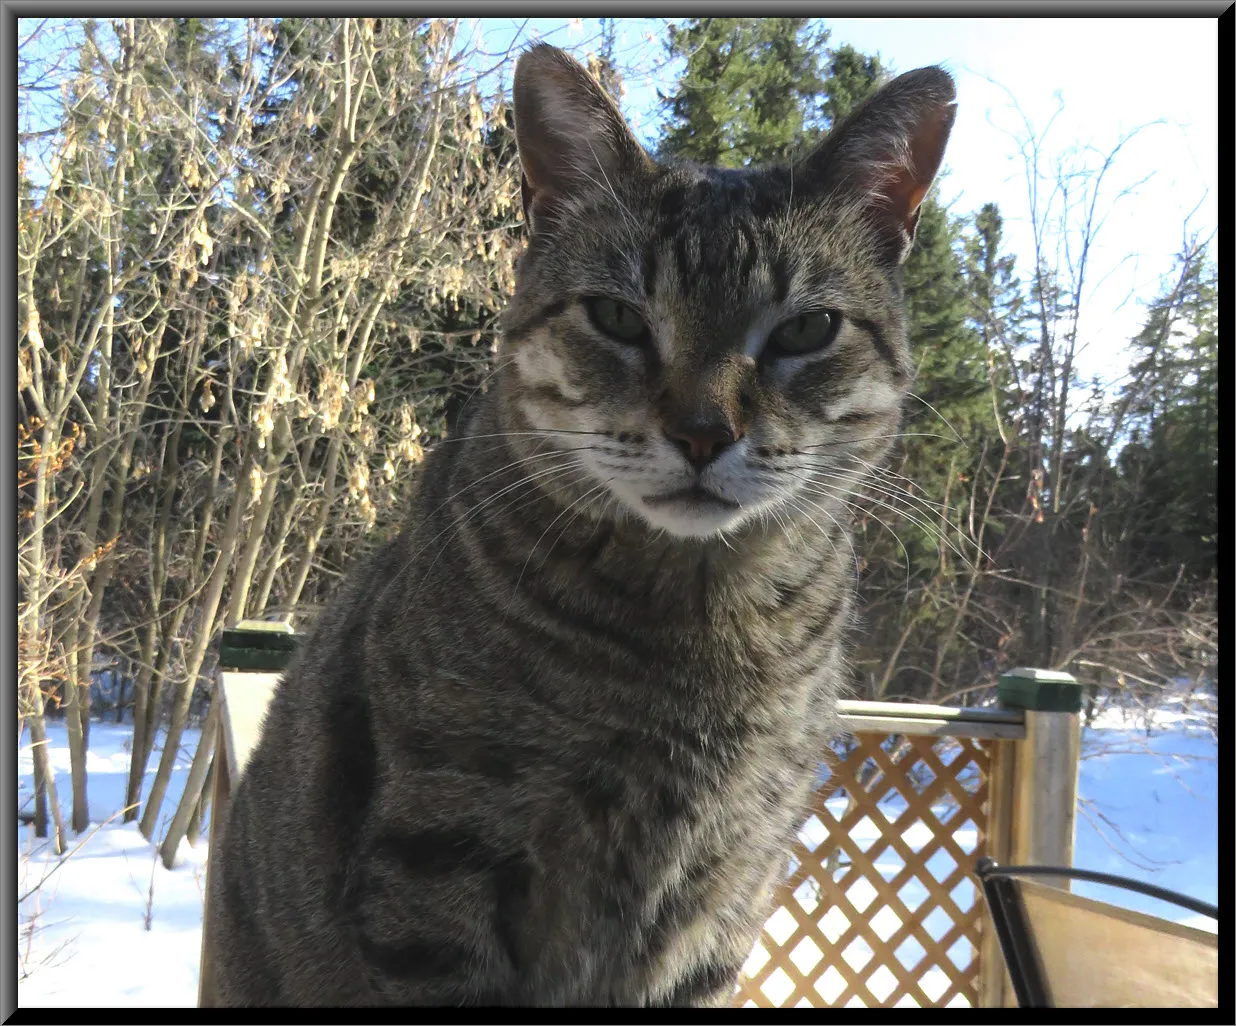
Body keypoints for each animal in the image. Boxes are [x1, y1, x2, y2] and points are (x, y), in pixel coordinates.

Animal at [205, 44, 954, 1008]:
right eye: (619, 317)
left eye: (807, 329)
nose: (703, 432)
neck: (700, 634)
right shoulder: (437, 861)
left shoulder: (729, 890)